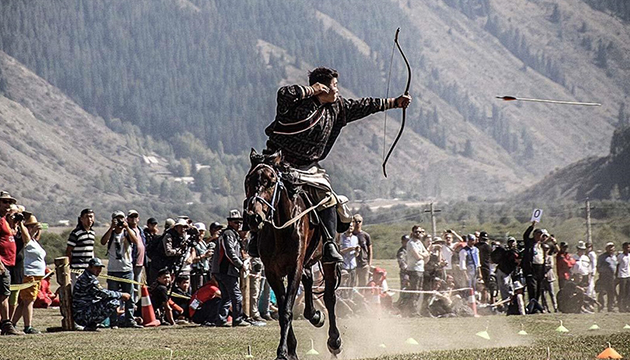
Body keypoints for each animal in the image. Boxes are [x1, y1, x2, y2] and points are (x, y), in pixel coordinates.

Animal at [244, 149, 344, 360]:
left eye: (271, 181)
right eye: (248, 180)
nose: (253, 217)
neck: (281, 229)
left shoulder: (294, 268)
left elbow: (287, 310)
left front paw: (283, 352)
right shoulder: (272, 272)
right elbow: (283, 308)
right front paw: (290, 350)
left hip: (327, 262)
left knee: (329, 298)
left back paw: (334, 341)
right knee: (308, 280)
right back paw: (314, 316)